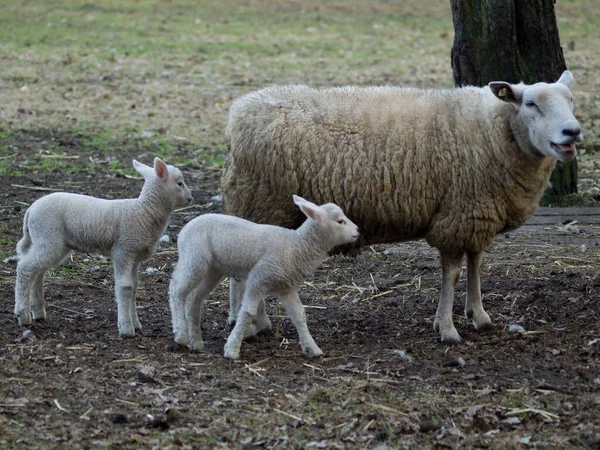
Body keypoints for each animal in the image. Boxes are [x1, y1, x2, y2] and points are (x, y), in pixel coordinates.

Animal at [14, 156, 192, 336]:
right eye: (179, 183)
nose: (190, 197)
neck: (144, 211)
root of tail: (30, 210)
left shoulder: (135, 257)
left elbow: (134, 288)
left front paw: (135, 324)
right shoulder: (122, 251)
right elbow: (125, 287)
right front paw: (126, 328)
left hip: (52, 243)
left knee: (38, 272)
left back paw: (38, 312)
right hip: (48, 237)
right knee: (25, 268)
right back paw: (23, 315)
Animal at [166, 195, 358, 360]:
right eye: (340, 221)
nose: (357, 230)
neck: (297, 246)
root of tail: (184, 229)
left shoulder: (287, 287)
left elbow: (299, 315)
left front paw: (312, 348)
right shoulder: (259, 278)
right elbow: (248, 312)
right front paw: (232, 349)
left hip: (213, 271)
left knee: (193, 298)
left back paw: (196, 342)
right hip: (194, 259)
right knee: (177, 290)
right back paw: (181, 334)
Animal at [220, 70, 580, 344]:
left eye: (571, 100)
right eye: (530, 103)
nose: (573, 131)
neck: (493, 130)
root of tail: (238, 114)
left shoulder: (476, 215)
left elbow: (476, 264)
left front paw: (478, 315)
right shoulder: (456, 215)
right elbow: (452, 273)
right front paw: (447, 328)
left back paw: (243, 320)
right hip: (261, 204)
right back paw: (252, 324)